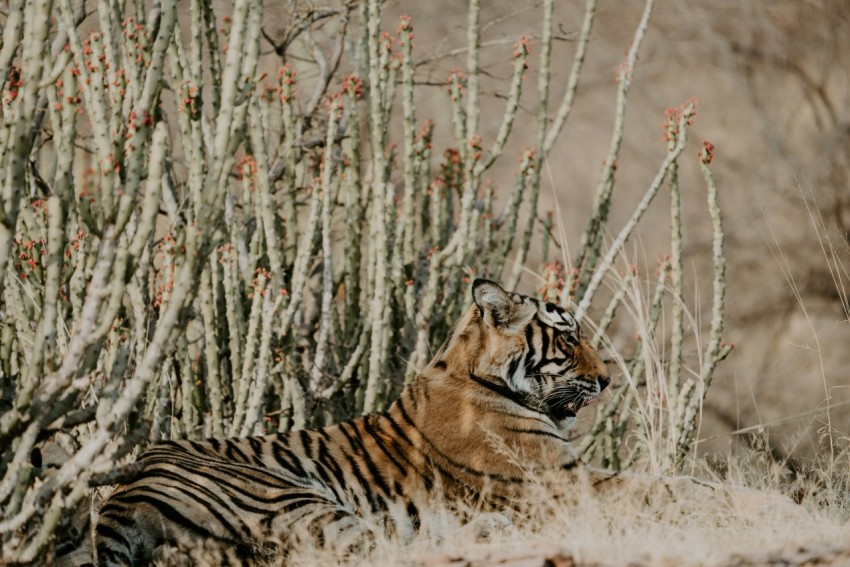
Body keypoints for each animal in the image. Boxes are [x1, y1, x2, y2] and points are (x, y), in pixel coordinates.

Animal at [93, 280, 608, 567]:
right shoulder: (567, 482)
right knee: (386, 552)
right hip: (293, 500)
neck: (474, 371)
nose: (607, 379)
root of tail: (120, 497)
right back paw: (491, 531)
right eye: (568, 338)